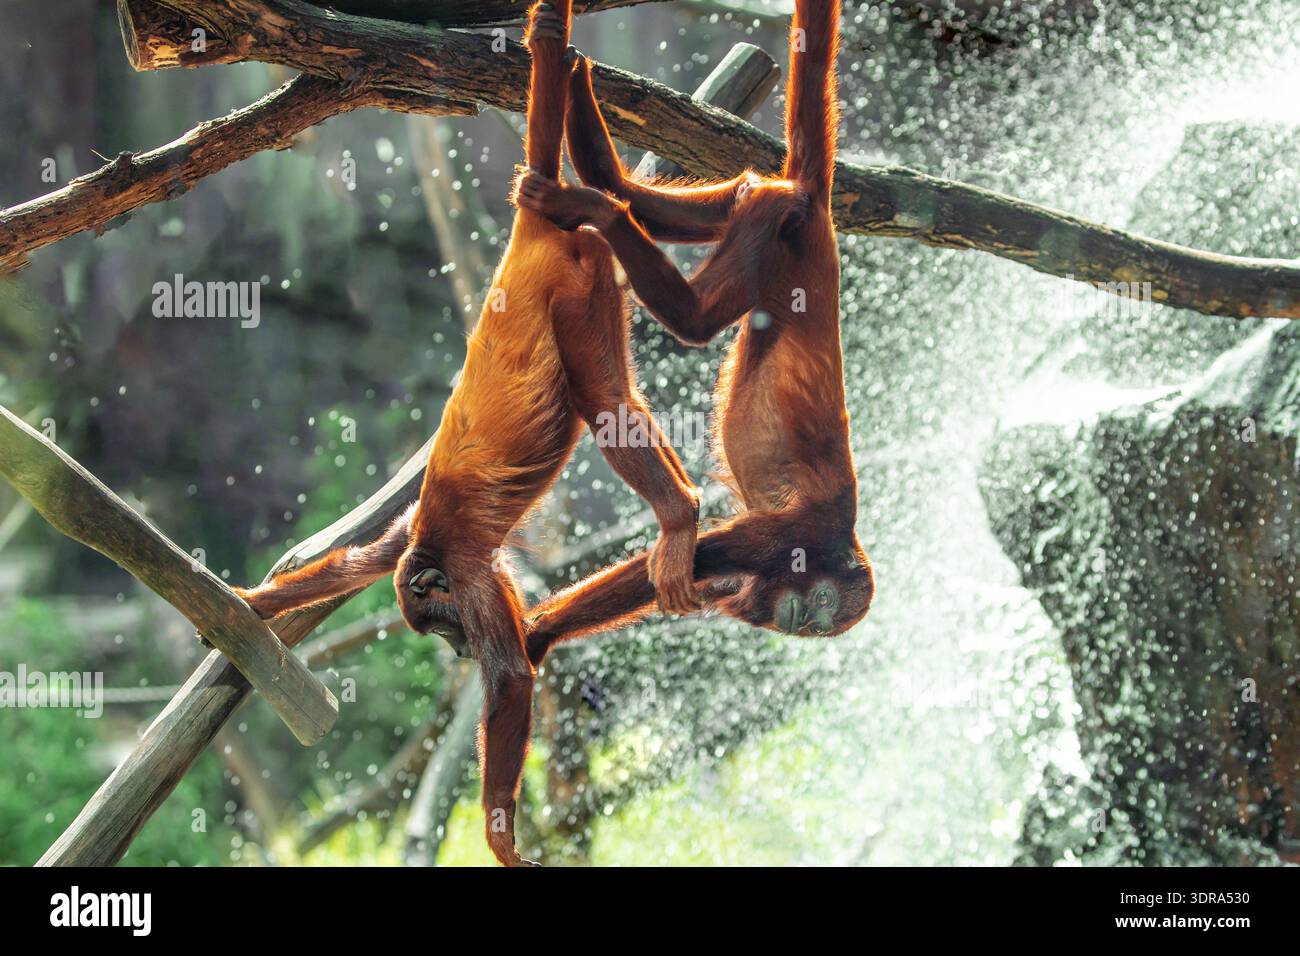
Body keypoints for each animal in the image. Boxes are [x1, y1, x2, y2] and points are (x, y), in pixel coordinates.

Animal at [232, 1, 701, 867]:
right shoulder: (408, 544)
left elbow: (511, 677)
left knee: (603, 397)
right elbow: (352, 567)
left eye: (444, 629)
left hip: (572, 284)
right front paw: (246, 601)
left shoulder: (463, 573)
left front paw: (500, 838)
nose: (451, 654)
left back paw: (680, 514)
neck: (429, 555)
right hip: (588, 271)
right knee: (611, 389)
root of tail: (525, 240)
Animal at [516, 0, 873, 666]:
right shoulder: (795, 535)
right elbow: (706, 552)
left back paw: (593, 141)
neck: (839, 542)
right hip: (773, 225)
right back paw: (600, 207)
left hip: (750, 198)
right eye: (823, 604)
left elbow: (702, 582)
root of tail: (814, 205)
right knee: (695, 319)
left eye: (824, 623)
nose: (806, 624)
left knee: (651, 203)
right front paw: (537, 634)